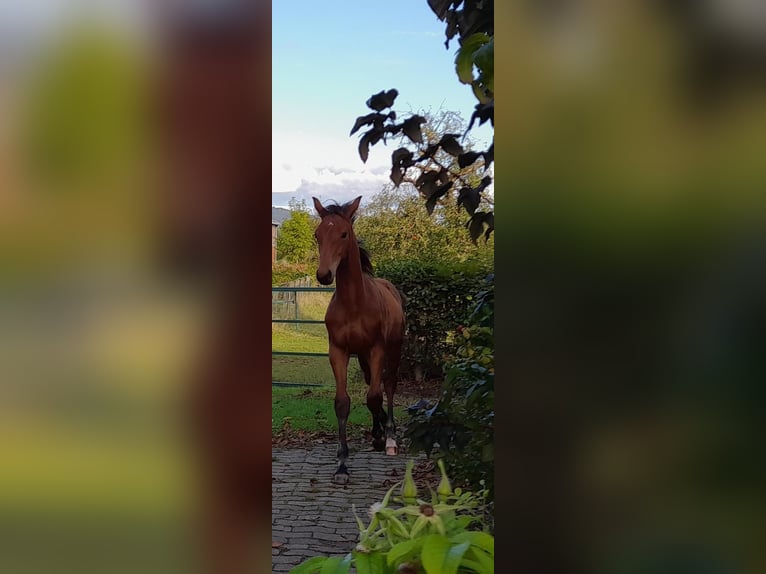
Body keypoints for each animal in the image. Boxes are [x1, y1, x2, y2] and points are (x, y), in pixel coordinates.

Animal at [312, 198, 408, 486]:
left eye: (344, 234)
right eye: (317, 235)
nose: (324, 275)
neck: (354, 304)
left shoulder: (377, 349)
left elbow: (375, 396)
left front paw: (383, 438)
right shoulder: (339, 351)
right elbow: (343, 402)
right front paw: (342, 465)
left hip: (393, 350)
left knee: (388, 386)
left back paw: (389, 436)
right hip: (363, 357)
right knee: (371, 384)